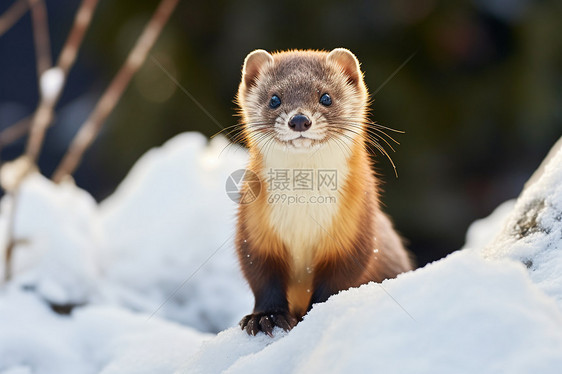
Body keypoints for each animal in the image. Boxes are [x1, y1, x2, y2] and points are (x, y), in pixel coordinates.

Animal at [232, 47, 412, 336]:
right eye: (274, 99)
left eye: (325, 97)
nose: (299, 119)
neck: (303, 211)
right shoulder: (253, 229)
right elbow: (261, 277)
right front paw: (264, 318)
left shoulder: (356, 230)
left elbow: (336, 283)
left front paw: (311, 316)